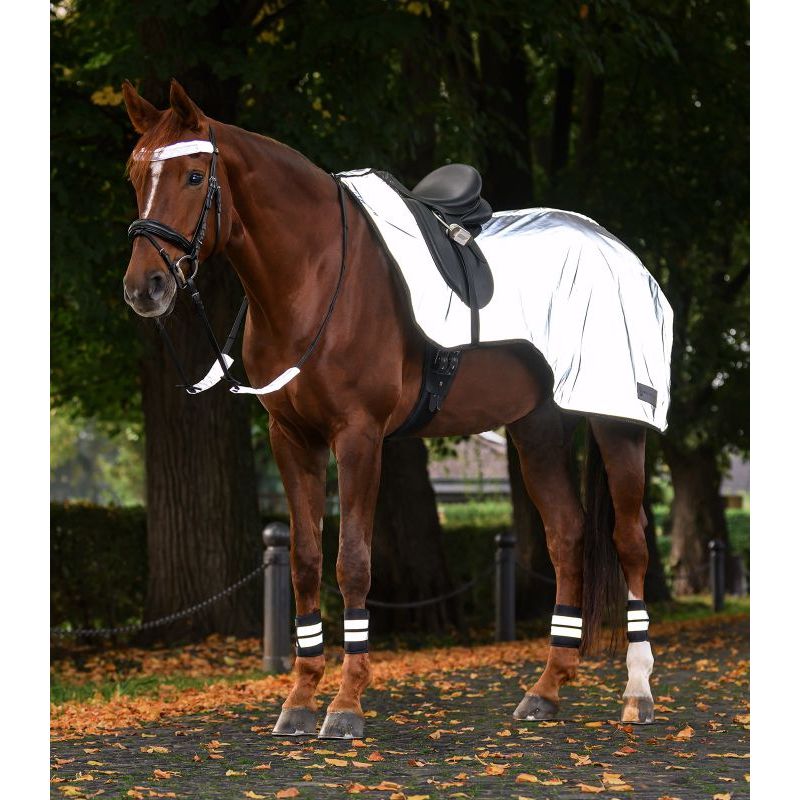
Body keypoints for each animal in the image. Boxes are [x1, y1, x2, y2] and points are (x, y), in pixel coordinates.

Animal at [121, 79, 657, 740]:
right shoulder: (291, 437)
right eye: (134, 173)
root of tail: (613, 244)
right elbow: (304, 561)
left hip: (616, 421)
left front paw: (346, 704)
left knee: (629, 540)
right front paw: (299, 700)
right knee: (567, 534)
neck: (315, 276)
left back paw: (637, 692)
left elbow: (352, 562)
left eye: (195, 175)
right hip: (538, 427)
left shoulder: (359, 436)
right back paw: (546, 690)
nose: (144, 288)